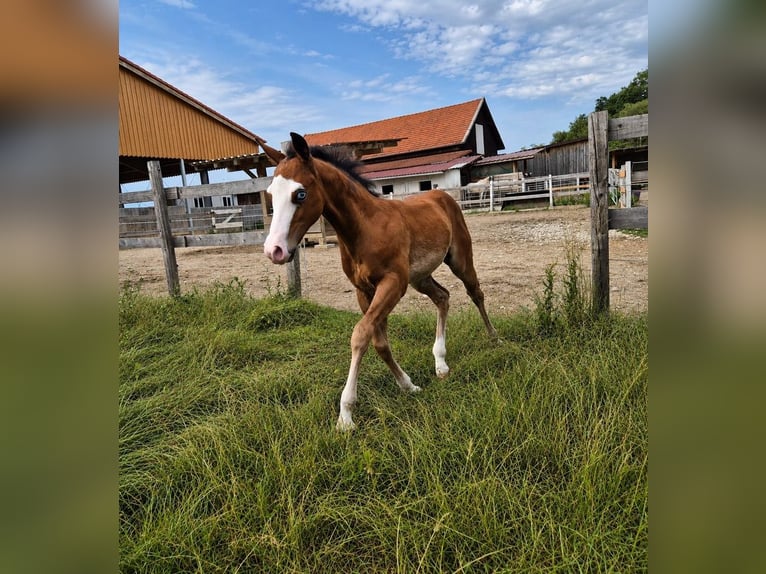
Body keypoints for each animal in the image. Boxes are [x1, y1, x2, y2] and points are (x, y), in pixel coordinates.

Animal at [261, 132, 498, 430]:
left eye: (300, 194)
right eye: (271, 194)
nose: (274, 250)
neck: (366, 228)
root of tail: (441, 194)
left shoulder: (393, 284)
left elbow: (360, 334)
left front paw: (346, 414)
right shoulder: (364, 290)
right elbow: (379, 342)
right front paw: (408, 385)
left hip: (459, 260)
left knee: (475, 292)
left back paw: (494, 338)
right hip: (420, 277)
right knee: (443, 297)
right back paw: (440, 363)